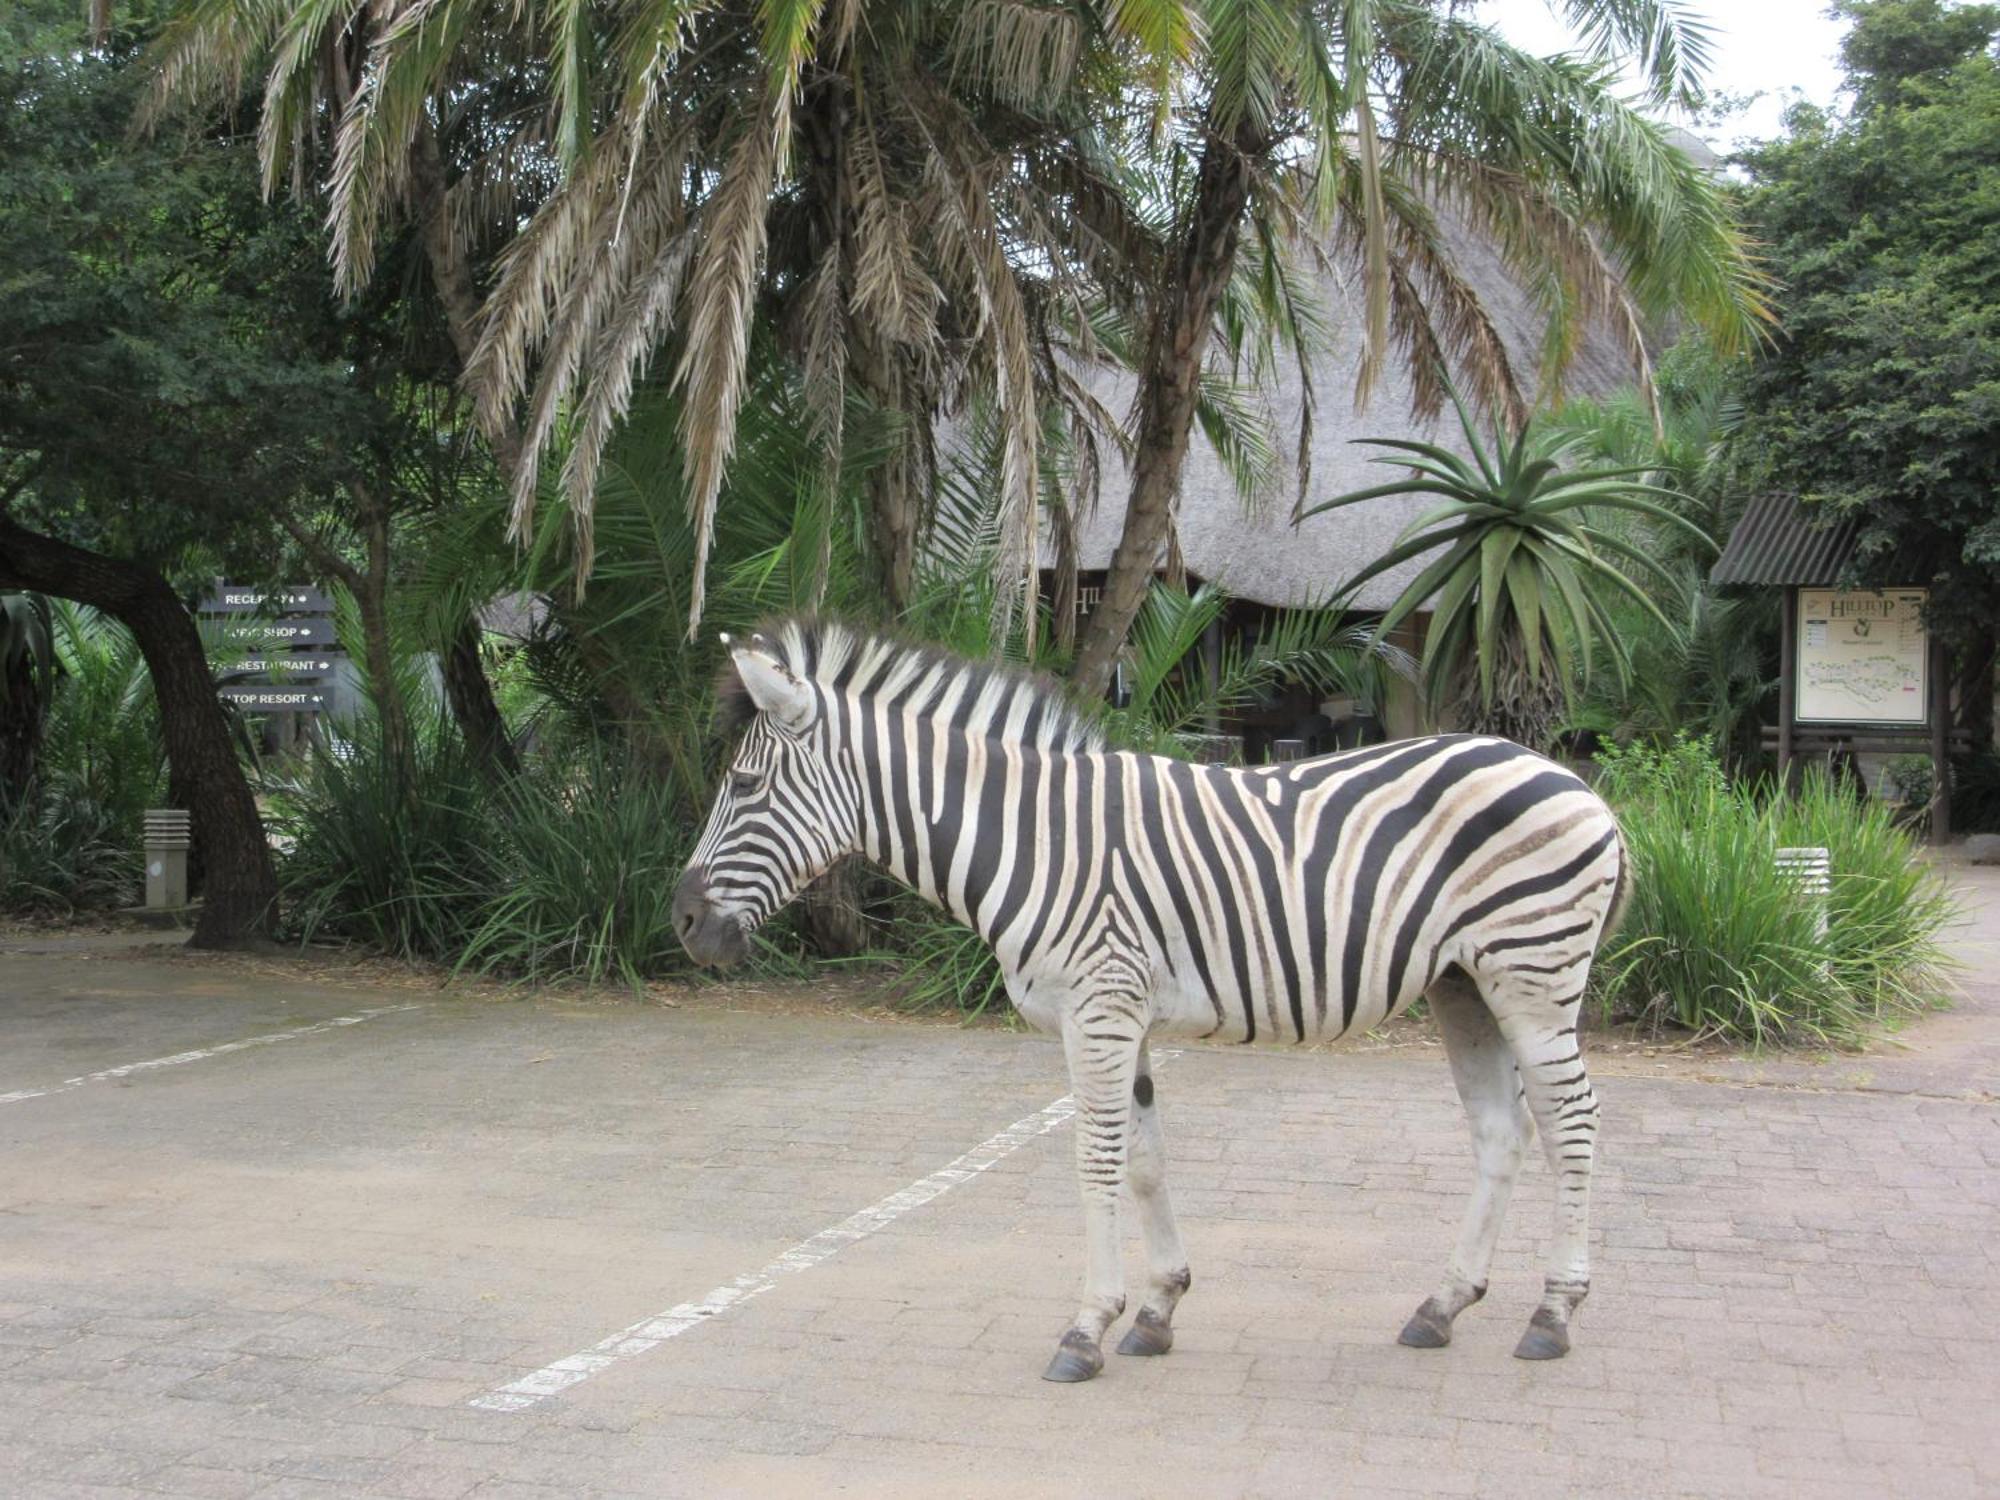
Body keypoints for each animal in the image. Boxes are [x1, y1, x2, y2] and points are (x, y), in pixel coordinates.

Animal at [672, 620, 1624, 1384]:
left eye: (744, 787)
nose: (682, 923)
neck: (1033, 838)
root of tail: (1572, 779)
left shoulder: (1096, 1012)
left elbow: (1094, 1163)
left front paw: (1088, 1328)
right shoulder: (1121, 1019)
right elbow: (1145, 1161)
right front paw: (1159, 1310)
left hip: (1534, 979)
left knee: (1573, 1124)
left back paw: (1553, 1314)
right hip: (1463, 984)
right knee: (1503, 1129)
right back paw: (1443, 1305)